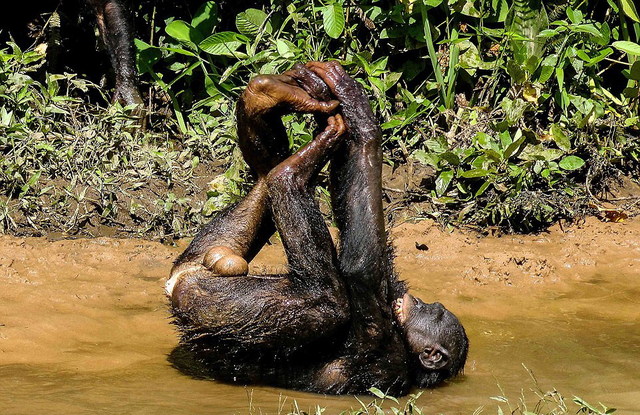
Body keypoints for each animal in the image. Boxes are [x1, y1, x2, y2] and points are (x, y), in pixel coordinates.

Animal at [164, 60, 470, 394]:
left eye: (437, 313)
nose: (424, 302)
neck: (403, 337)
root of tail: (179, 280)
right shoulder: (393, 289)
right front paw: (354, 105)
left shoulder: (382, 346)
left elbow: (360, 265)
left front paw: (357, 112)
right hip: (205, 253)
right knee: (263, 181)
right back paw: (270, 97)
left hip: (207, 302)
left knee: (330, 303)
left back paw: (297, 164)